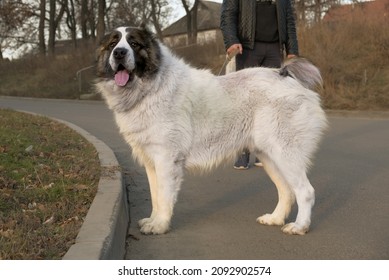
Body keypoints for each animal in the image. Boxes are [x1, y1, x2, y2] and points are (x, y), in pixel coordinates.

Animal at [95, 26, 326, 236]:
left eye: (134, 44)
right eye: (113, 44)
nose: (119, 53)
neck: (151, 87)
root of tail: (284, 74)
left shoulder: (166, 159)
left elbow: (164, 196)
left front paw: (160, 225)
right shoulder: (152, 162)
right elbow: (155, 196)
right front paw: (153, 220)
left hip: (285, 153)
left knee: (305, 191)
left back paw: (299, 226)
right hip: (269, 155)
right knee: (286, 191)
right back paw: (275, 218)